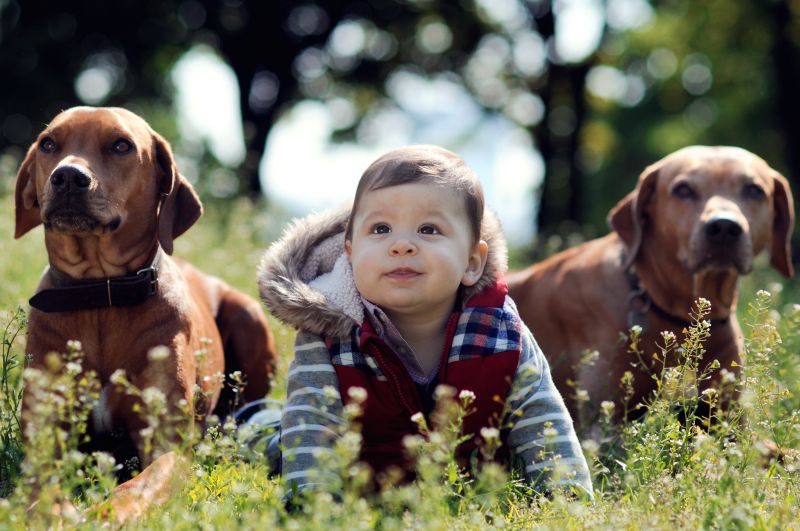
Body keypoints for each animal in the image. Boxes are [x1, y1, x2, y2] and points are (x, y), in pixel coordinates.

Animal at [13, 106, 278, 520]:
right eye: (48, 144)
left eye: (121, 145)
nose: (68, 176)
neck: (100, 296)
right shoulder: (46, 436)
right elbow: (43, 480)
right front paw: (53, 510)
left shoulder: (165, 440)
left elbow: (143, 483)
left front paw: (107, 514)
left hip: (250, 316)